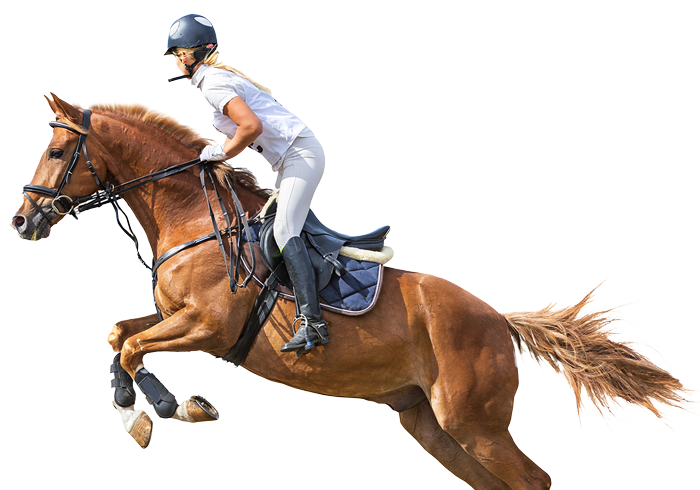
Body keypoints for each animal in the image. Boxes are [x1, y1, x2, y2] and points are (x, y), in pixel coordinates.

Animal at [9, 93, 695, 490]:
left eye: (57, 150)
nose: (21, 221)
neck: (191, 215)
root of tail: (500, 319)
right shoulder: (173, 316)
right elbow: (117, 335)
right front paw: (137, 407)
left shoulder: (209, 326)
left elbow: (132, 347)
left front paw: (168, 408)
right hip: (430, 424)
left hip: (472, 422)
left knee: (534, 480)